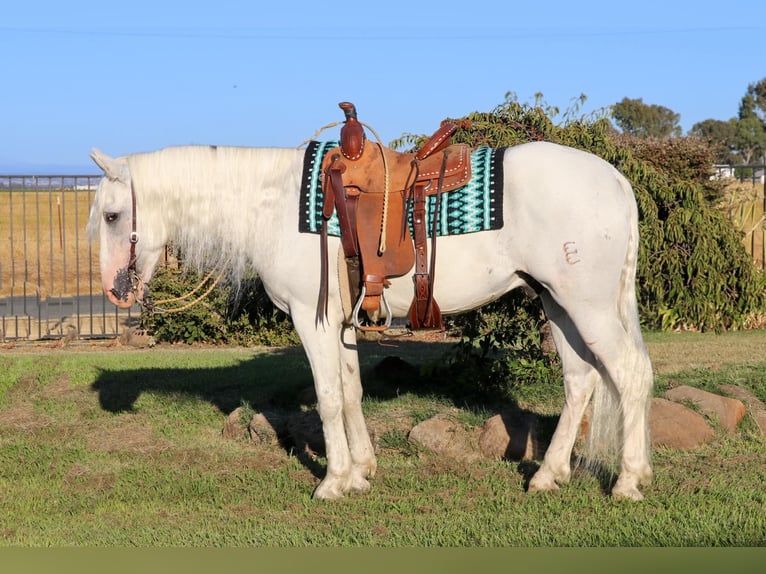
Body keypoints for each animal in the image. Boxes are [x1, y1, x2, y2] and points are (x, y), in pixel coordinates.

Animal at [88, 142, 656, 502]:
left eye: (113, 216)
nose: (115, 290)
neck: (275, 207)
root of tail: (615, 179)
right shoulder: (340, 325)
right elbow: (351, 391)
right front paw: (362, 471)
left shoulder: (312, 320)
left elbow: (327, 397)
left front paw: (333, 481)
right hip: (558, 304)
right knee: (580, 381)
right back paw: (549, 475)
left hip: (588, 305)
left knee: (630, 374)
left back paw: (628, 481)